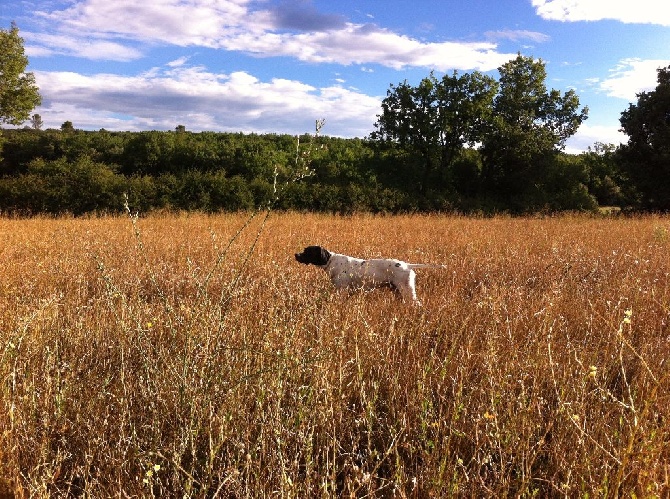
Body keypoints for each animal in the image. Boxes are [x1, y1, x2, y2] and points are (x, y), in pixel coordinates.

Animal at [296, 246, 446, 304]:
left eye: (307, 251)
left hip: (407, 292)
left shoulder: (342, 290)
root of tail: (407, 265)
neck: (331, 261)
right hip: (398, 292)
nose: (296, 254)